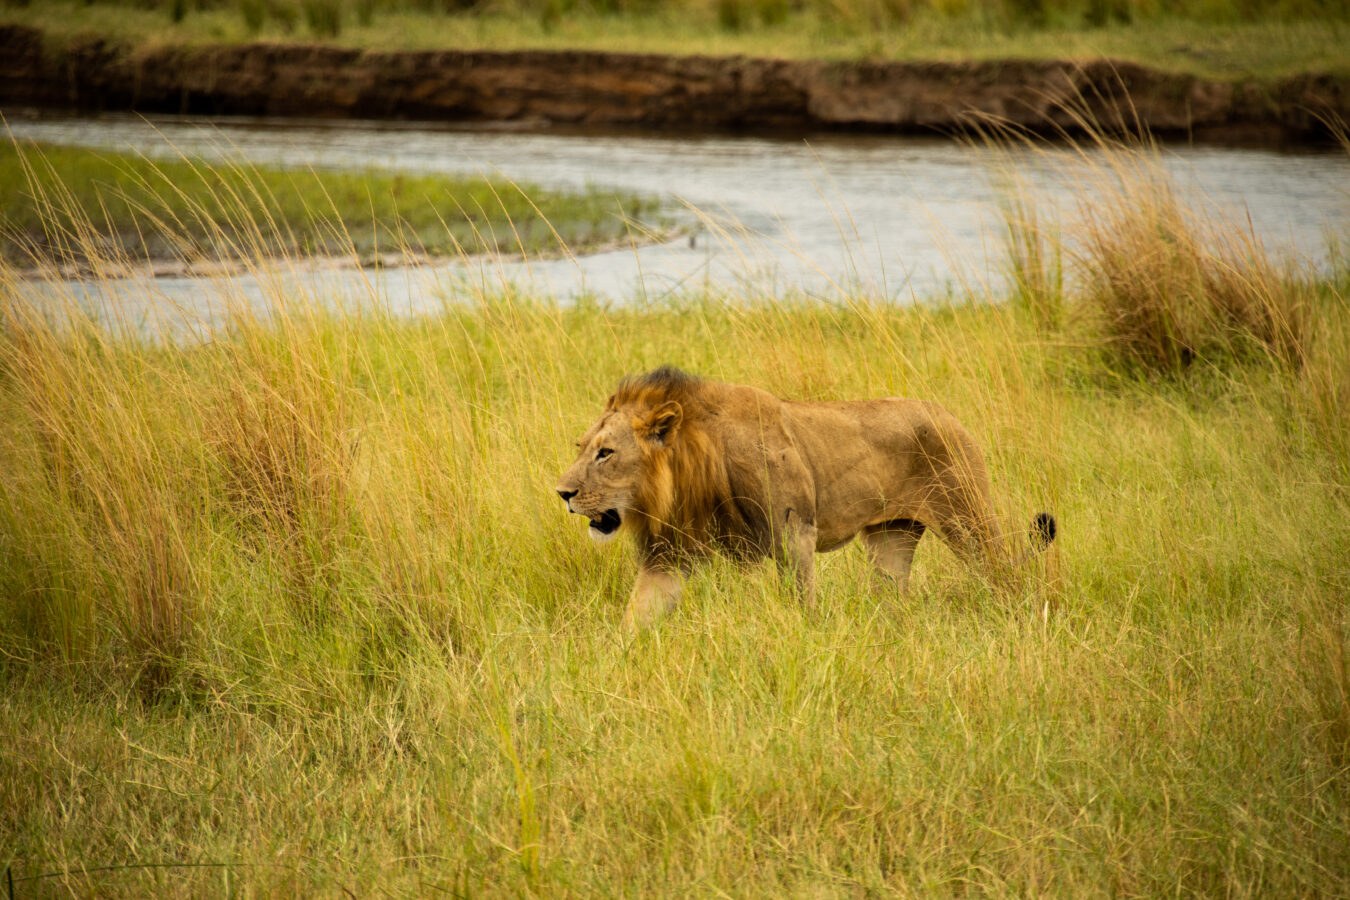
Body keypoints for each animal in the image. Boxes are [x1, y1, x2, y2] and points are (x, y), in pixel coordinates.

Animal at [555, 366, 1055, 630]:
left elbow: (801, 601)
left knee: (1003, 574)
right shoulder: (668, 554)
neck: (686, 476)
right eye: (580, 447)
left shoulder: (795, 532)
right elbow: (637, 615)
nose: (562, 493)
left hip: (967, 520)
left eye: (606, 453)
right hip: (891, 536)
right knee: (893, 590)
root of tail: (949, 415)